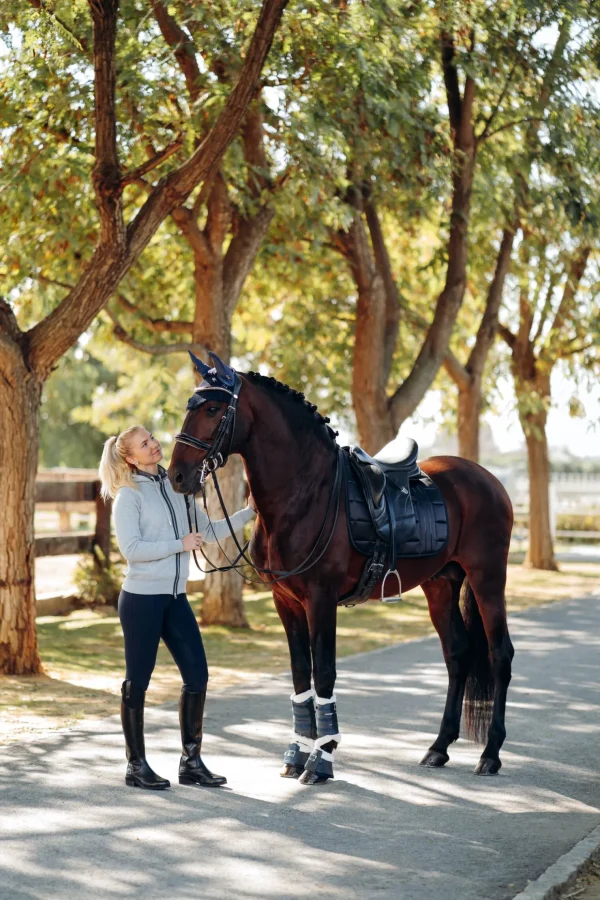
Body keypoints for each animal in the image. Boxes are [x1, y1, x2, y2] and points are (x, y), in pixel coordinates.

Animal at [169, 356, 516, 784]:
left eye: (213, 409)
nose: (177, 475)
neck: (305, 493)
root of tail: (489, 479)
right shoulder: (286, 602)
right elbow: (301, 673)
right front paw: (298, 754)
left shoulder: (321, 599)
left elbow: (324, 673)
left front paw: (322, 760)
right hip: (441, 585)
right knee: (458, 654)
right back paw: (438, 747)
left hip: (488, 578)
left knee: (500, 655)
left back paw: (490, 753)